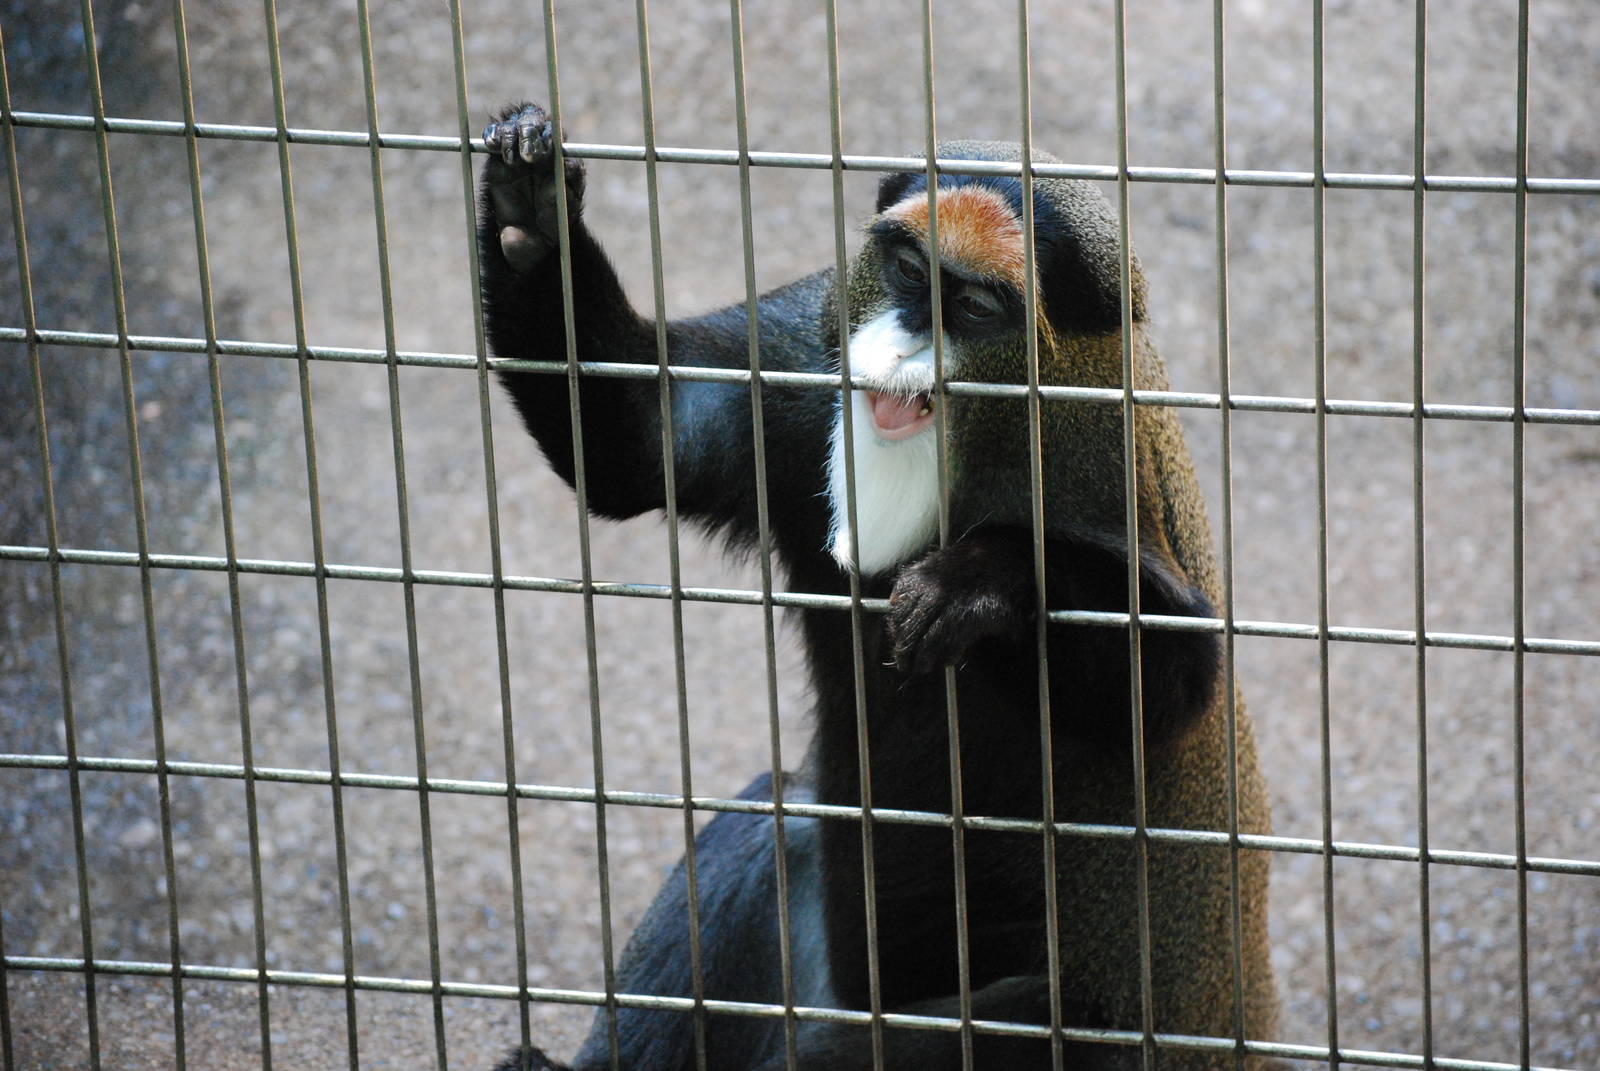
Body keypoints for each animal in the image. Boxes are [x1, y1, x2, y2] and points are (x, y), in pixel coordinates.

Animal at [479, 101, 1278, 1070]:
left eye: (974, 306)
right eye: (906, 270)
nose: (903, 341)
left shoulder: (1100, 462)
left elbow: (1179, 675)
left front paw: (984, 582)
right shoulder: (802, 349)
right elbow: (644, 433)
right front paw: (532, 213)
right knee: (773, 823)